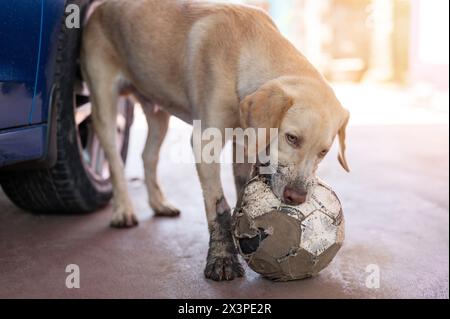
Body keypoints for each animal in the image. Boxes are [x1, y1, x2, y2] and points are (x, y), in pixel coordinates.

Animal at [81, 0, 350, 282]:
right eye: (292, 138)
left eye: (323, 152)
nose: (296, 197)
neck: (245, 48)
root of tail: (101, 7)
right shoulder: (205, 142)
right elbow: (218, 204)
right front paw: (222, 258)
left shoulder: (244, 143)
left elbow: (242, 191)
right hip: (103, 106)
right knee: (114, 161)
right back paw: (122, 209)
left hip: (158, 114)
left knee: (148, 156)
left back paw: (158, 203)